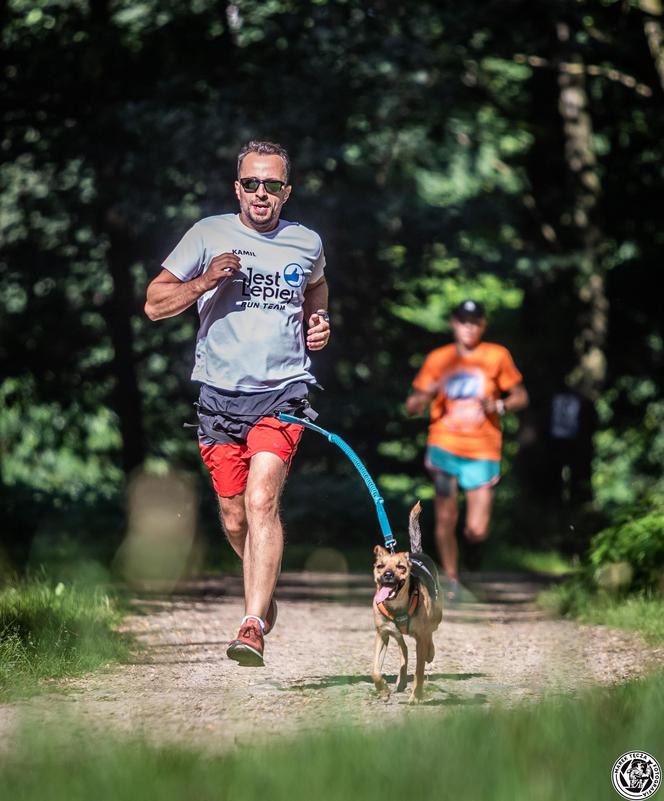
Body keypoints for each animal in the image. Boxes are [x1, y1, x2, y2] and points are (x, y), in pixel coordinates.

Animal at [370, 504, 444, 704]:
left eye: (400, 567)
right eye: (380, 566)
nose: (387, 575)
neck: (397, 605)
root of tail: (417, 552)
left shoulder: (420, 637)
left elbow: (419, 671)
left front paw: (416, 696)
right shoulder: (383, 634)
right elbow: (375, 671)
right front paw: (383, 691)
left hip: (435, 617)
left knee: (429, 636)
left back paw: (429, 653)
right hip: (396, 633)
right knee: (403, 648)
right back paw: (401, 680)